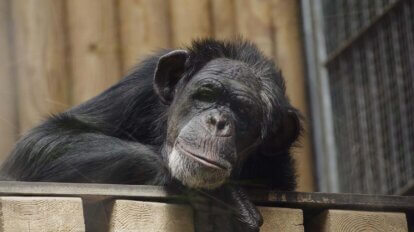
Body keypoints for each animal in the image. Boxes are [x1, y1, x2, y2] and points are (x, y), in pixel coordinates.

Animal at [0, 39, 300, 231]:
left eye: (244, 111)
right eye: (207, 94)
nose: (218, 121)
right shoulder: (139, 85)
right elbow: (45, 138)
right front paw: (222, 198)